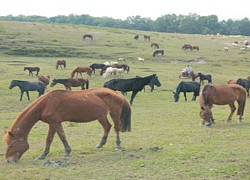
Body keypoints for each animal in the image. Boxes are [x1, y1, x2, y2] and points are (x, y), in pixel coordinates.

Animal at [3, 87, 131, 163]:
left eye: (11, 145)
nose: (9, 160)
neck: (45, 104)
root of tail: (116, 93)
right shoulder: (57, 123)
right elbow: (62, 136)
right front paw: (67, 151)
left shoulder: (53, 123)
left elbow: (49, 139)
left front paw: (43, 155)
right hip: (100, 115)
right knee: (107, 127)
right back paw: (100, 144)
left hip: (114, 113)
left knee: (116, 127)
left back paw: (118, 145)